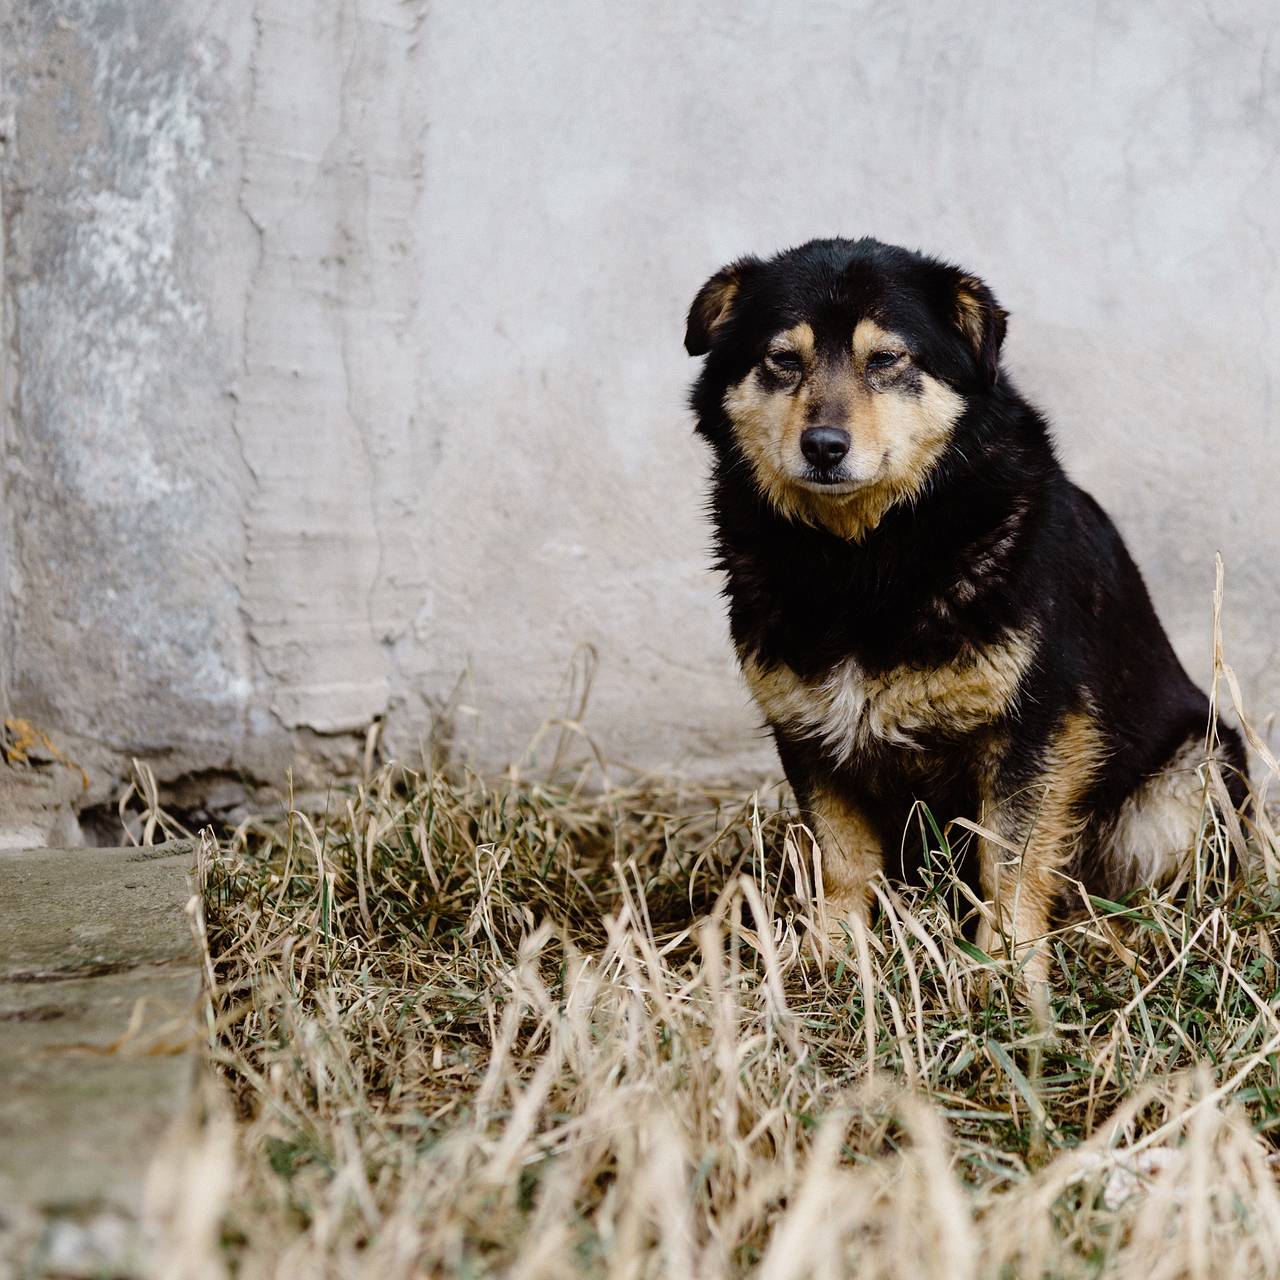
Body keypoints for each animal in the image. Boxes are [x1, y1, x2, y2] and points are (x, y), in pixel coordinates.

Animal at [686, 238, 1244, 977]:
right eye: (782, 359)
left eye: (886, 359)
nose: (824, 446)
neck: (862, 558)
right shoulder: (806, 729)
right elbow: (841, 859)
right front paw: (831, 957)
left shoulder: (1037, 727)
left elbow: (1008, 861)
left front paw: (1005, 973)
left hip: (1192, 774)